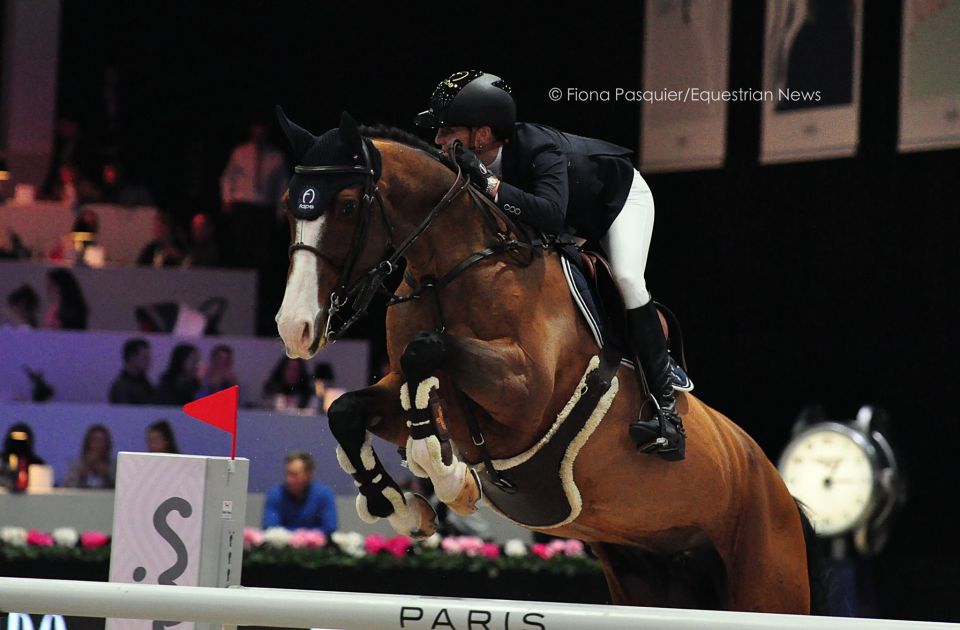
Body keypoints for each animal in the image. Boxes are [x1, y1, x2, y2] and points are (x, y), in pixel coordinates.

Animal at [274, 110, 820, 616]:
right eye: (287, 207)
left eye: (347, 205)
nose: (294, 328)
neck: (449, 270)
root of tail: (777, 485)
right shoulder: (403, 390)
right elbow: (349, 409)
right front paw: (406, 507)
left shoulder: (525, 395)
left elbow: (425, 355)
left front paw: (452, 480)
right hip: (651, 571)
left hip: (768, 584)